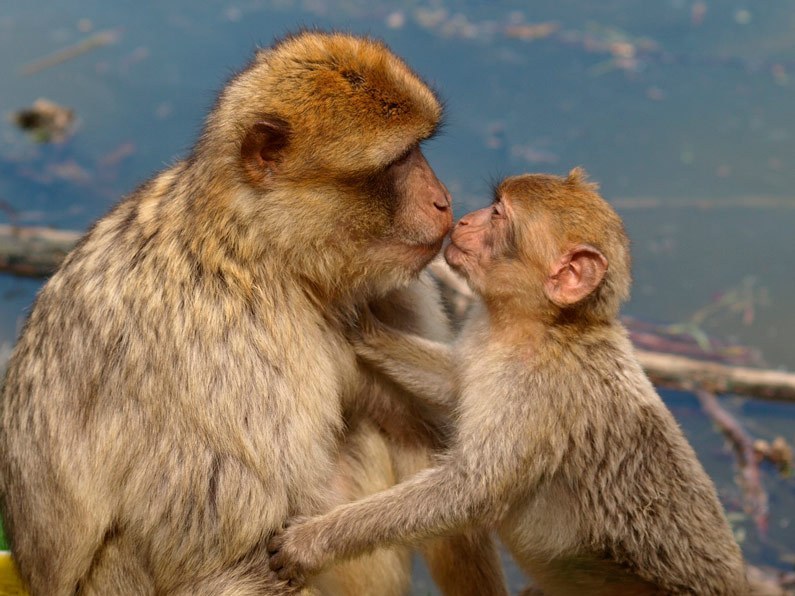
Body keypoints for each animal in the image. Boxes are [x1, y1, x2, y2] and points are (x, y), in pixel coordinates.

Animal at [0, 31, 507, 595]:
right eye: (397, 161)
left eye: (419, 149)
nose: (443, 201)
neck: (262, 254)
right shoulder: (229, 353)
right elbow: (226, 554)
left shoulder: (387, 294)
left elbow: (427, 438)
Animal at [267, 168, 750, 595]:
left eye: (498, 215)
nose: (462, 219)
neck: (537, 326)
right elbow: (454, 383)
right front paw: (361, 326)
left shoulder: (536, 391)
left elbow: (469, 491)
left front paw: (313, 541)